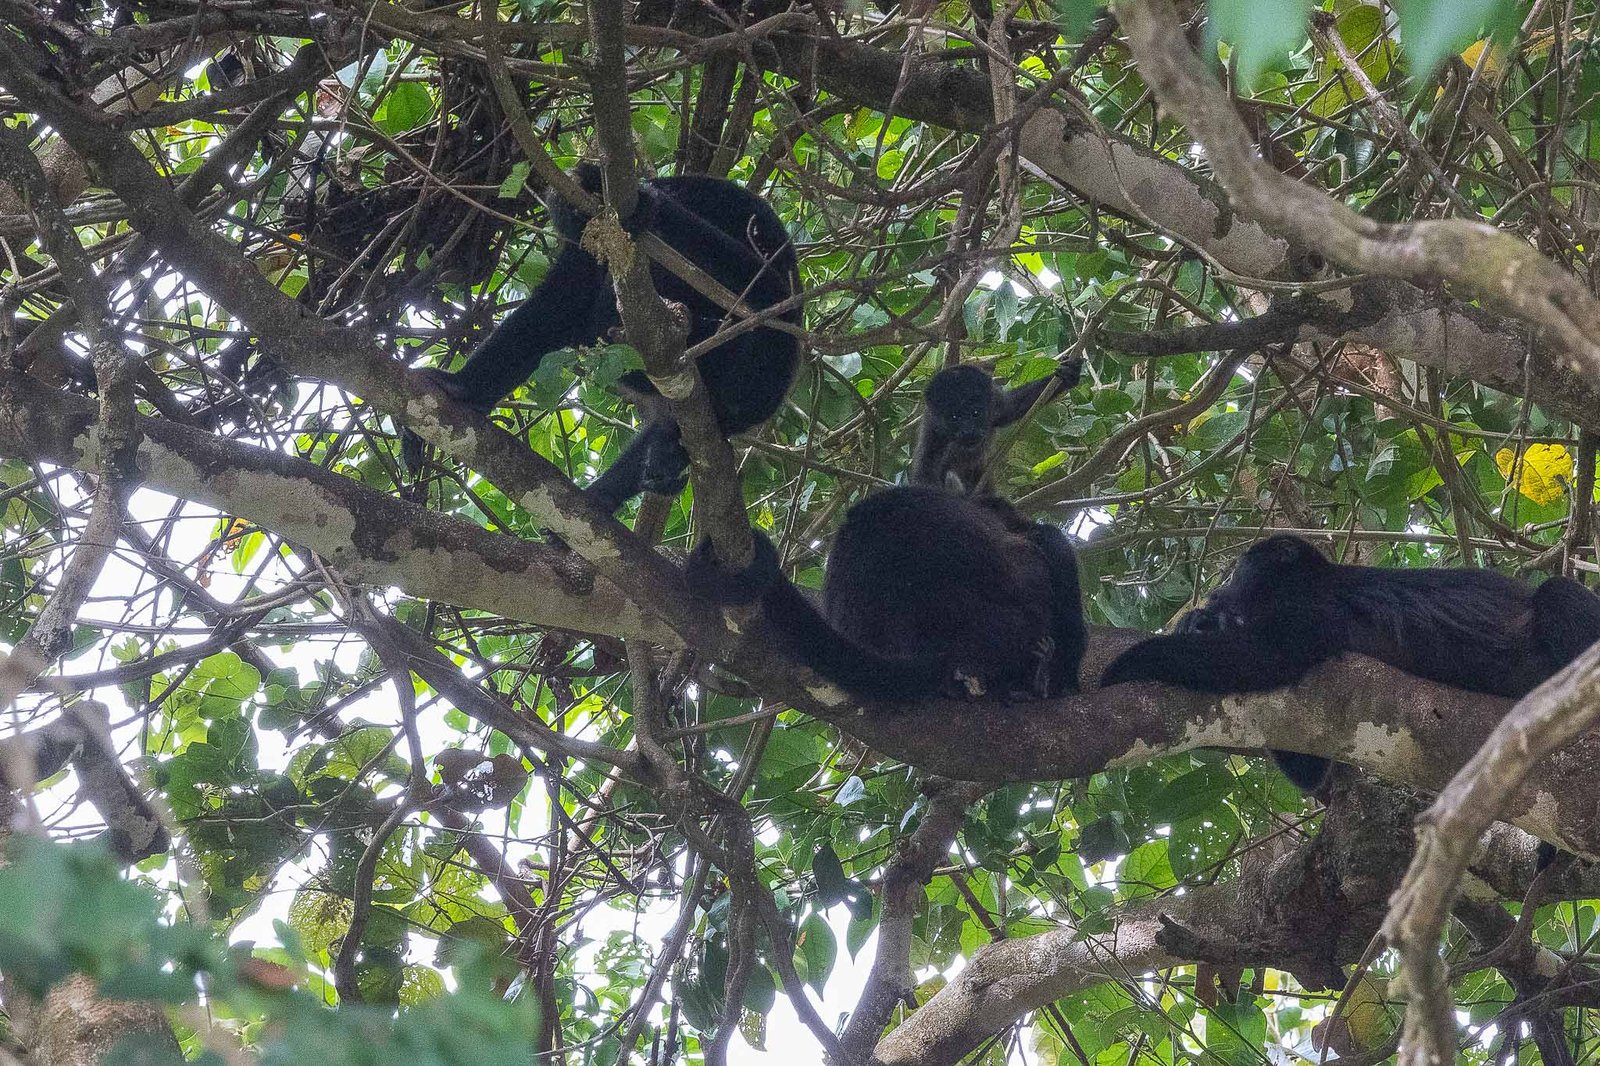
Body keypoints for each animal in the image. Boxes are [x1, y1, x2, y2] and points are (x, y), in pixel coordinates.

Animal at [1101, 534, 1600, 790]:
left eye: (1239, 567)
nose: (1219, 589)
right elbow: (1307, 771)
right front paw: (1200, 621)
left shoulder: (1311, 609)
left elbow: (1262, 659)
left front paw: (1129, 662)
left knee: (1557, 593)